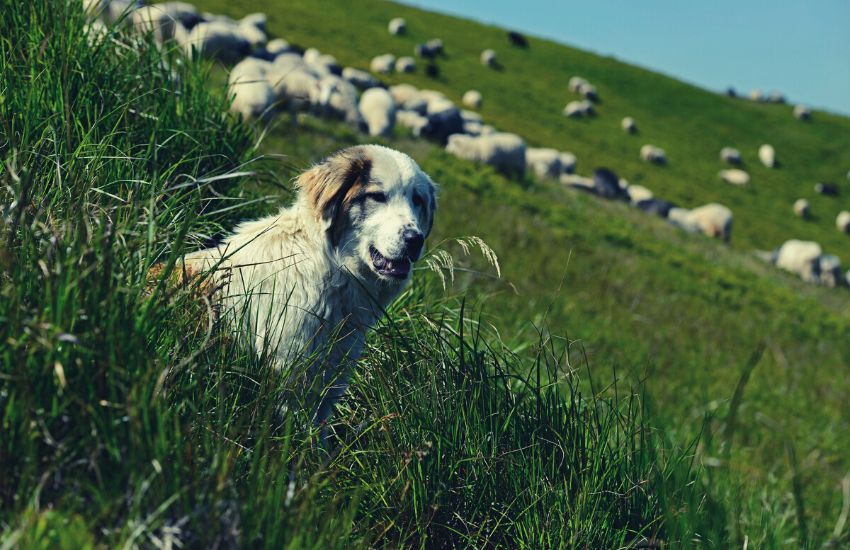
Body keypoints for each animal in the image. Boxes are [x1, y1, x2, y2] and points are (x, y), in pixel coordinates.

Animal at [173, 146, 438, 426]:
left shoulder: (333, 373)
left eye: (418, 201)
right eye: (377, 196)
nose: (415, 239)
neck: (331, 267)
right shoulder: (290, 371)